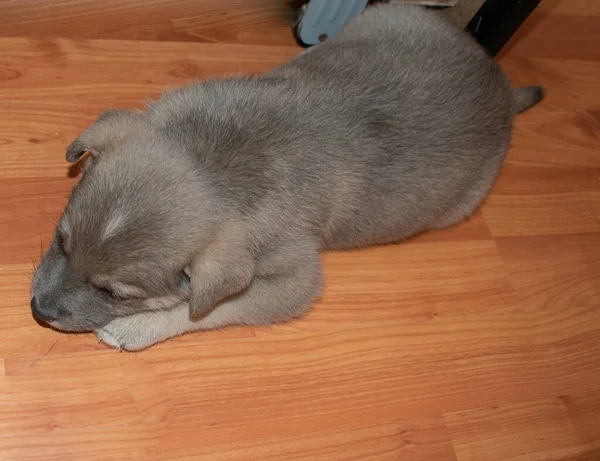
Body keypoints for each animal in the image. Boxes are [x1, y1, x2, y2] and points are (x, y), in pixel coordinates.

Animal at [29, 3, 544, 350]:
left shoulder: (295, 282)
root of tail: (503, 89)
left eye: (113, 292)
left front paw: (136, 326)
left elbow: (207, 311)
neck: (210, 161)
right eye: (61, 241)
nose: (38, 310)